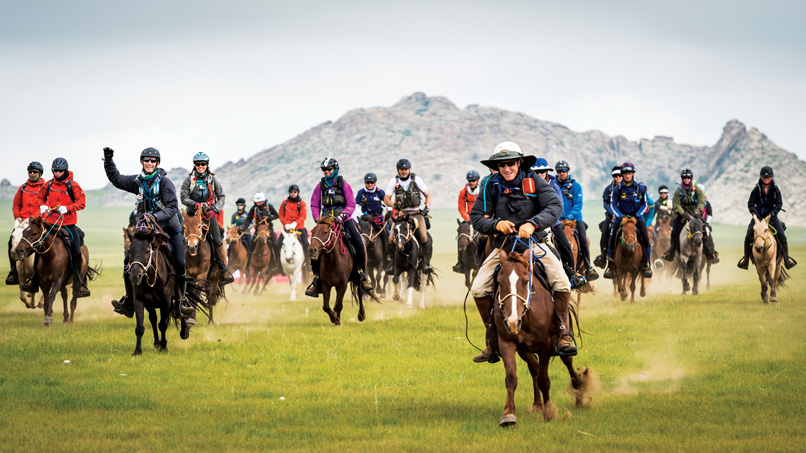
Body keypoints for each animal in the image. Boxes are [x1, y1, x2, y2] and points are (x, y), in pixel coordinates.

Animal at [492, 245, 600, 426]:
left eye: (525, 281)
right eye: (499, 282)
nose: (512, 322)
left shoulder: (545, 345)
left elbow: (544, 380)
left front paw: (549, 412)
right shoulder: (506, 342)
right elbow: (512, 378)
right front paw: (508, 414)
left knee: (567, 361)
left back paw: (579, 388)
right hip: (524, 349)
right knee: (533, 367)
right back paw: (537, 404)